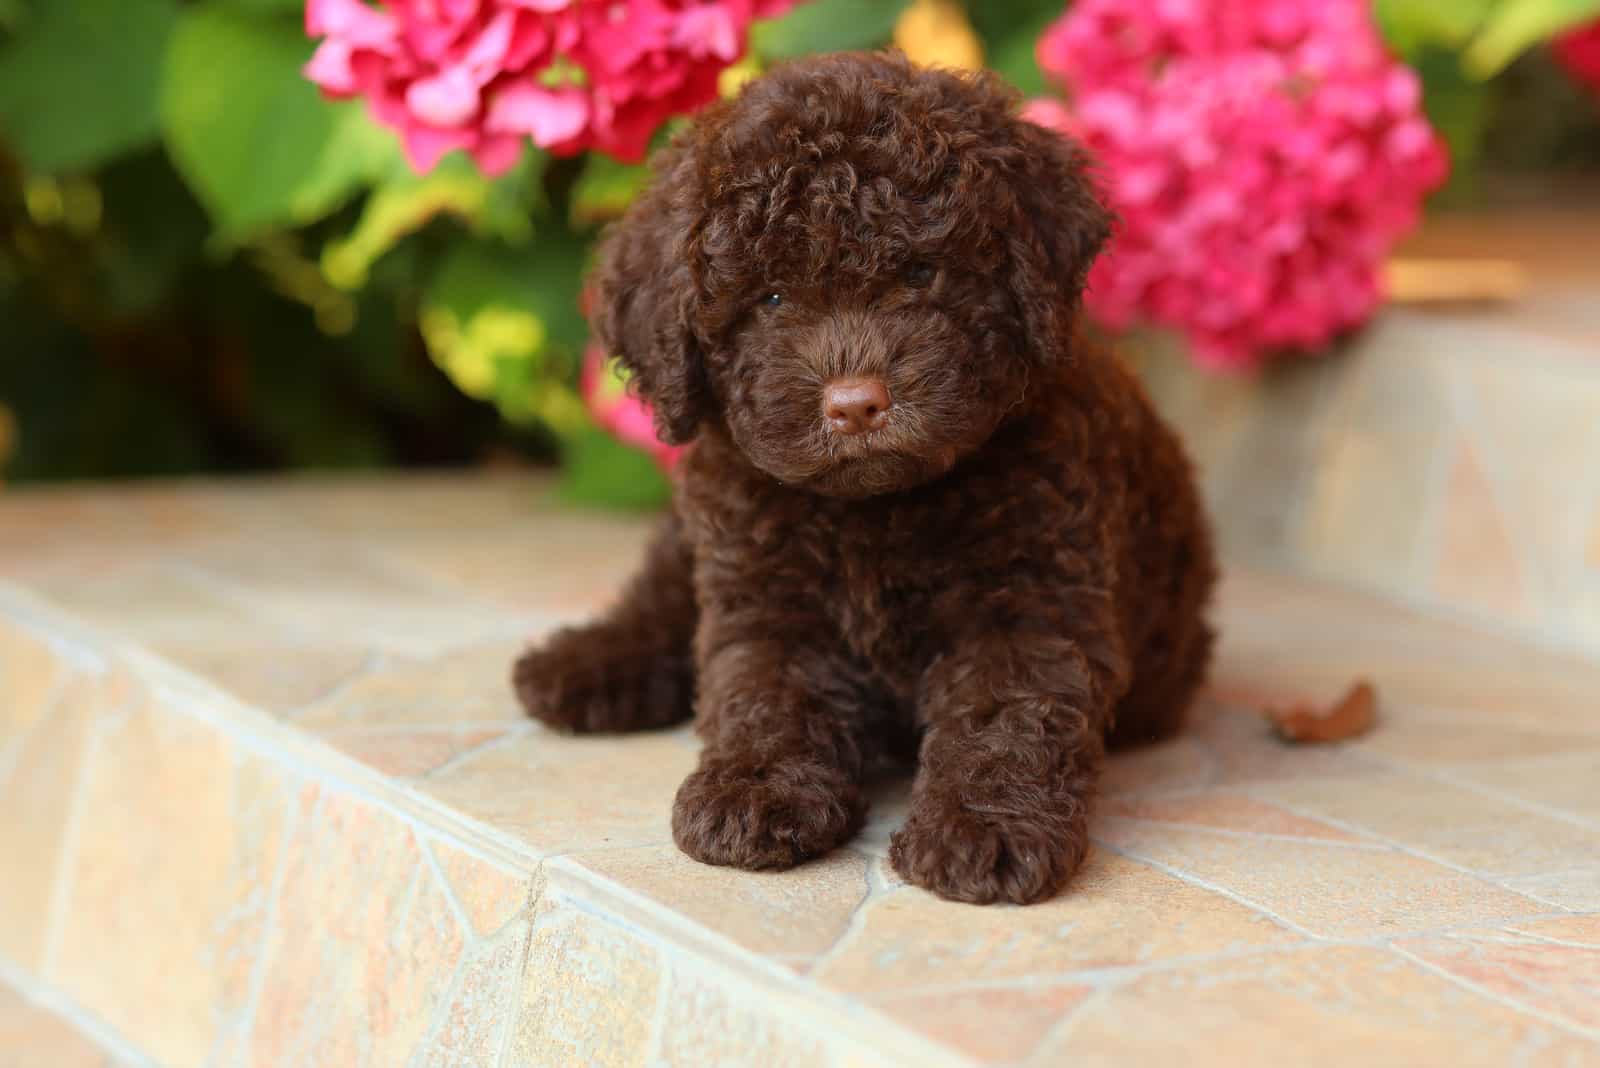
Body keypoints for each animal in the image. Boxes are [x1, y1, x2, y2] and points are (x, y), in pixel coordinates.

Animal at [512, 49, 1209, 901]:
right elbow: (764, 691)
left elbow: (1007, 712)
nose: (854, 404)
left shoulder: (1031, 597)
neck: (872, 508)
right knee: (661, 597)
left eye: (921, 272)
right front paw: (756, 789)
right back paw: (582, 665)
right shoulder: (762, 587)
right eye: (771, 298)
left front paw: (984, 828)